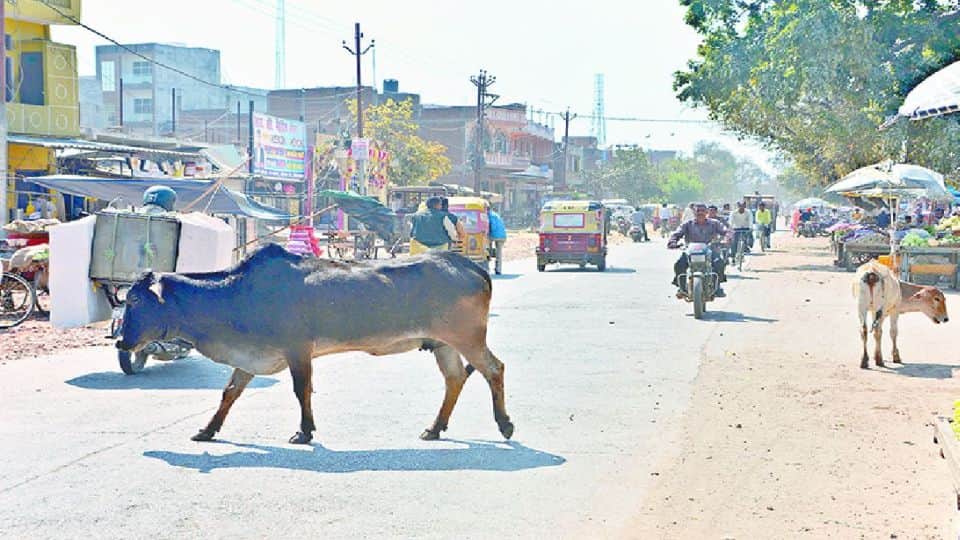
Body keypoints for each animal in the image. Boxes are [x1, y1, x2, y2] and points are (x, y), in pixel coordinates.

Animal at [116, 243, 513, 445]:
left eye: (134, 300)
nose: (120, 340)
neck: (236, 295)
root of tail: (470, 265)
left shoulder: (298, 350)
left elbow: (300, 390)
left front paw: (304, 432)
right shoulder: (249, 357)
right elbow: (229, 393)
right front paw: (208, 430)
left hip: (467, 338)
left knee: (494, 369)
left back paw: (505, 424)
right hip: (443, 344)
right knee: (455, 378)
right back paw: (434, 428)